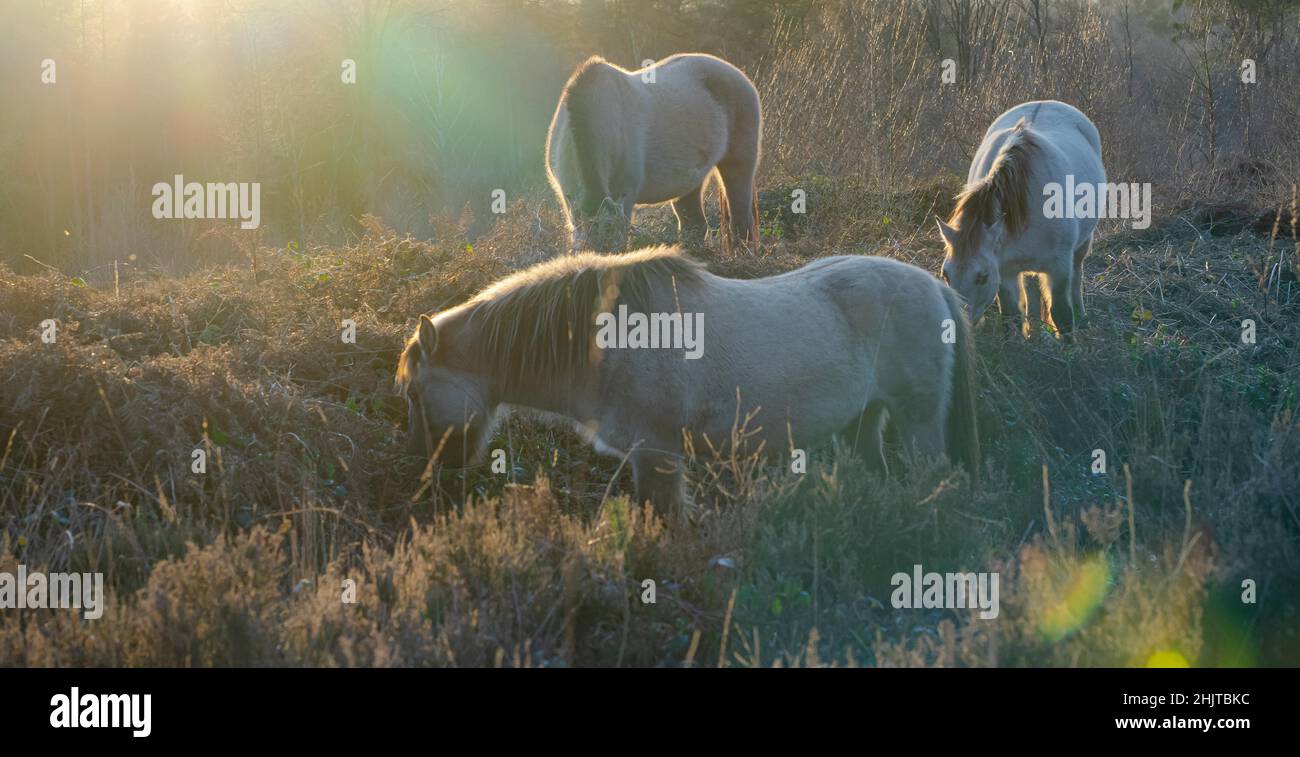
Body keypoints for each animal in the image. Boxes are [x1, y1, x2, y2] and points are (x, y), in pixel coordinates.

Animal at [392, 245, 977, 512]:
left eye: (415, 391)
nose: (424, 465)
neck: (607, 343)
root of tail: (936, 286)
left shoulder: (656, 456)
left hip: (918, 421)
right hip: (863, 421)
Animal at [546, 54, 759, 254]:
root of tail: (740, 76)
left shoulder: (626, 197)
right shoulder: (569, 200)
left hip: (739, 166)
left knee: (740, 221)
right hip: (690, 183)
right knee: (695, 225)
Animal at [935, 100, 1107, 338]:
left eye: (982, 277)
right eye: (946, 275)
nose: (958, 326)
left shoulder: (1059, 267)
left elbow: (1062, 313)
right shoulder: (1005, 270)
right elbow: (1012, 316)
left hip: (1081, 247)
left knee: (1077, 276)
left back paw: (1081, 317)